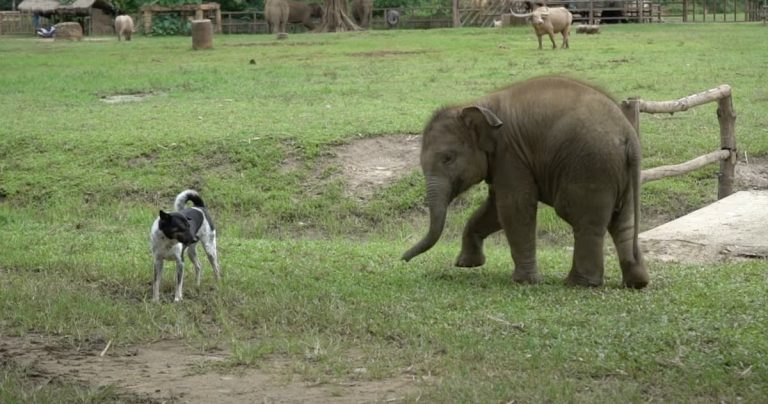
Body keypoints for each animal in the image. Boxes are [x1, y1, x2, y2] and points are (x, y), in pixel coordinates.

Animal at [402, 76, 649, 289]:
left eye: (447, 158)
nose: (403, 258)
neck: (479, 104)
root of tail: (629, 135)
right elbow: (494, 208)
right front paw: (467, 264)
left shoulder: (510, 154)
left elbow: (513, 206)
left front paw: (524, 281)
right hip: (622, 174)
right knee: (623, 221)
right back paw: (636, 283)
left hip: (591, 167)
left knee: (582, 218)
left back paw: (578, 283)